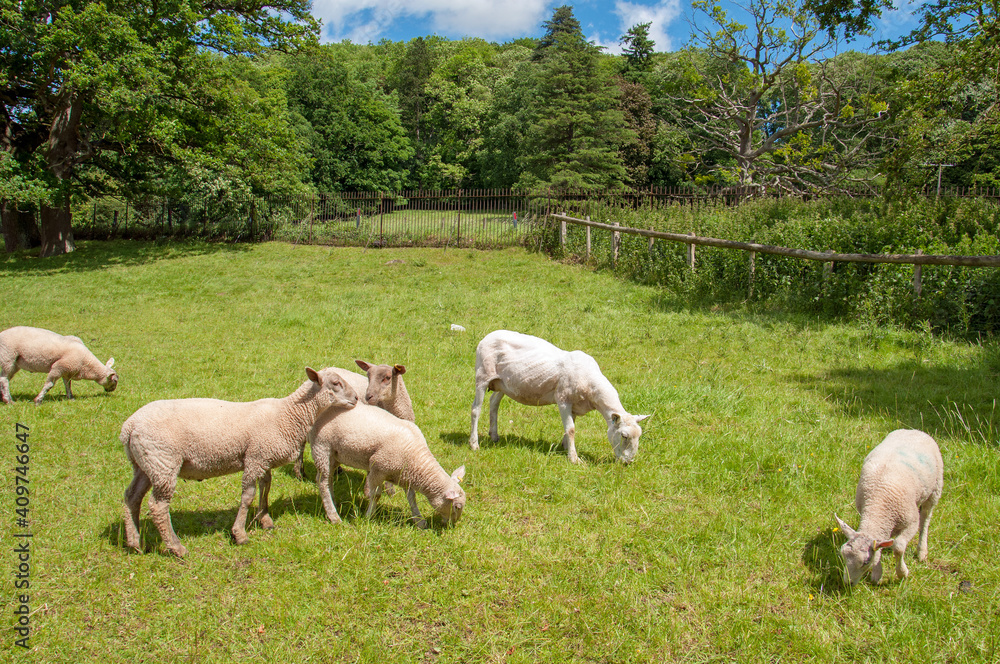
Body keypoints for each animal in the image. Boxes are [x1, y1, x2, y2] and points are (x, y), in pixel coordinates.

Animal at [120, 367, 358, 557]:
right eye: (335, 383)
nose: (356, 398)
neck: (288, 414)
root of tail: (129, 427)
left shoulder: (262, 457)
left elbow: (266, 487)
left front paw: (265, 519)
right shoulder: (254, 458)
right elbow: (248, 496)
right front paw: (240, 534)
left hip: (146, 465)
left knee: (132, 497)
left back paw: (134, 543)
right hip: (164, 462)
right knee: (158, 506)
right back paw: (176, 547)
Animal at [308, 402, 465, 528]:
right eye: (457, 506)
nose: (452, 525)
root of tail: (325, 410)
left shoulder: (404, 475)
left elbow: (412, 498)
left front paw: (419, 520)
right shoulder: (377, 469)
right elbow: (376, 495)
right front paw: (368, 516)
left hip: (334, 456)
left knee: (328, 479)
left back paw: (333, 502)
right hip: (322, 447)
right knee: (322, 482)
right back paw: (333, 516)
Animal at [469, 330, 649, 464]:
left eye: (639, 436)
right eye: (624, 436)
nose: (628, 463)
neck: (591, 387)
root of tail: (488, 335)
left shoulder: (575, 405)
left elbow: (570, 427)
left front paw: (565, 447)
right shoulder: (563, 400)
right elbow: (571, 429)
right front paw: (574, 458)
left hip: (502, 384)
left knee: (494, 403)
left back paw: (494, 436)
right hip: (483, 376)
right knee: (475, 410)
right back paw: (474, 444)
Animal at [834, 429, 944, 585]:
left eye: (865, 562)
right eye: (842, 554)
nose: (847, 584)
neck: (878, 505)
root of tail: (914, 430)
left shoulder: (911, 522)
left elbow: (898, 547)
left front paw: (902, 573)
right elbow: (880, 545)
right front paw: (877, 573)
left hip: (935, 489)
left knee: (925, 520)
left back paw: (922, 551)